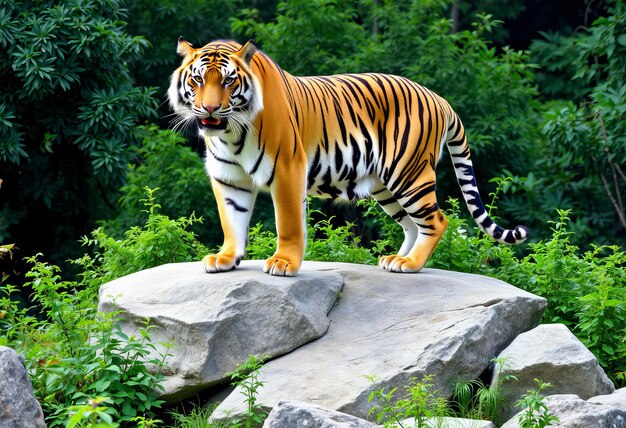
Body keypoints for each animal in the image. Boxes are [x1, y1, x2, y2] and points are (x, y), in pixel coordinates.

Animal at [167, 37, 528, 278]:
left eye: (229, 80)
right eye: (198, 79)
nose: (210, 108)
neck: (231, 134)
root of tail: (439, 98)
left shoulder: (287, 169)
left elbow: (289, 223)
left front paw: (284, 263)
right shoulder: (229, 178)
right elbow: (232, 220)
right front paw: (226, 258)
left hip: (409, 174)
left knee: (437, 220)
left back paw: (411, 264)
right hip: (385, 185)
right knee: (412, 224)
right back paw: (395, 260)